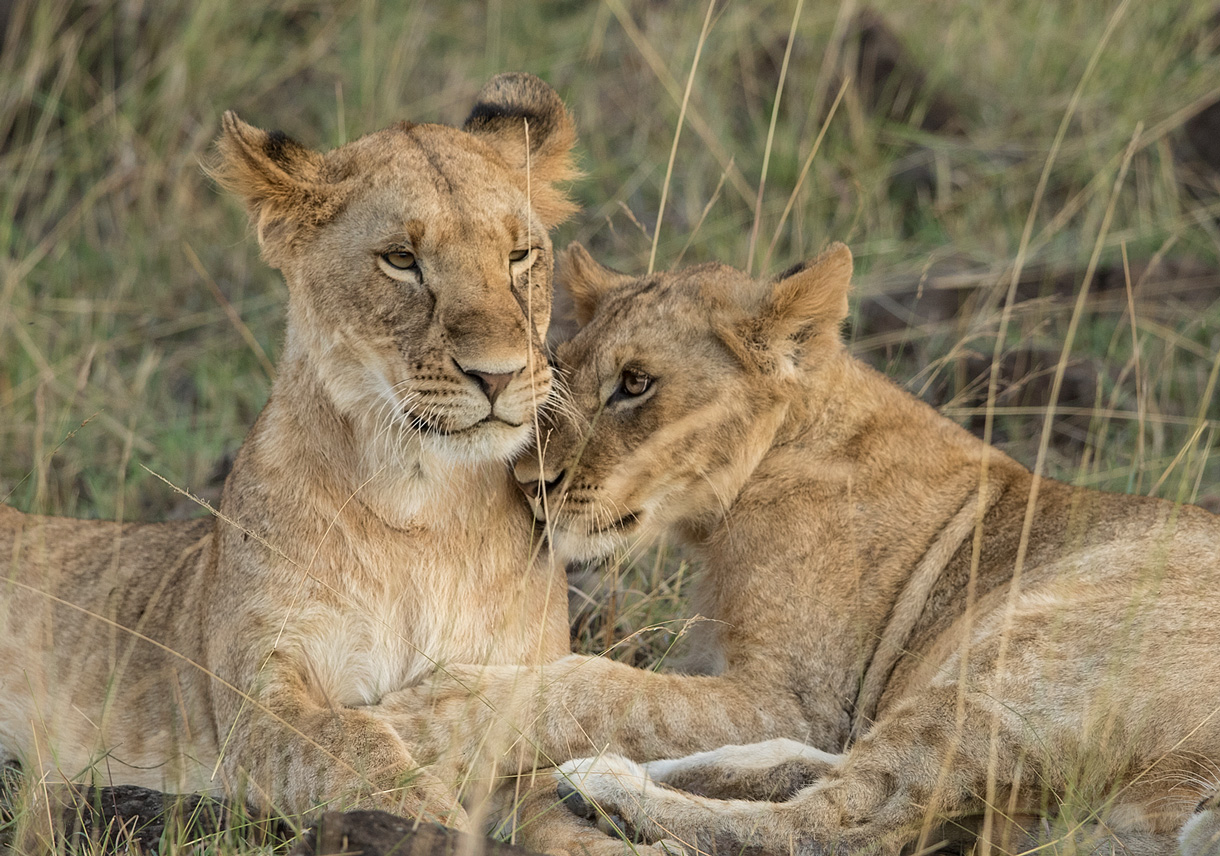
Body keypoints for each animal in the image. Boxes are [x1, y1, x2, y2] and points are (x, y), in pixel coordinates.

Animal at [0, 75, 578, 829]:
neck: (421, 501)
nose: (500, 375)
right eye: (401, 260)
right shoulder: (257, 705)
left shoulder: (519, 689)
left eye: (519, 256)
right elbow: (359, 748)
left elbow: (561, 815)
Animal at [407, 245, 1220, 853]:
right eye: (560, 372)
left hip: (1020, 663)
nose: (526, 482)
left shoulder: (797, 699)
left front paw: (438, 708)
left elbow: (596, 686)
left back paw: (607, 789)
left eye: (636, 384)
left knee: (842, 822)